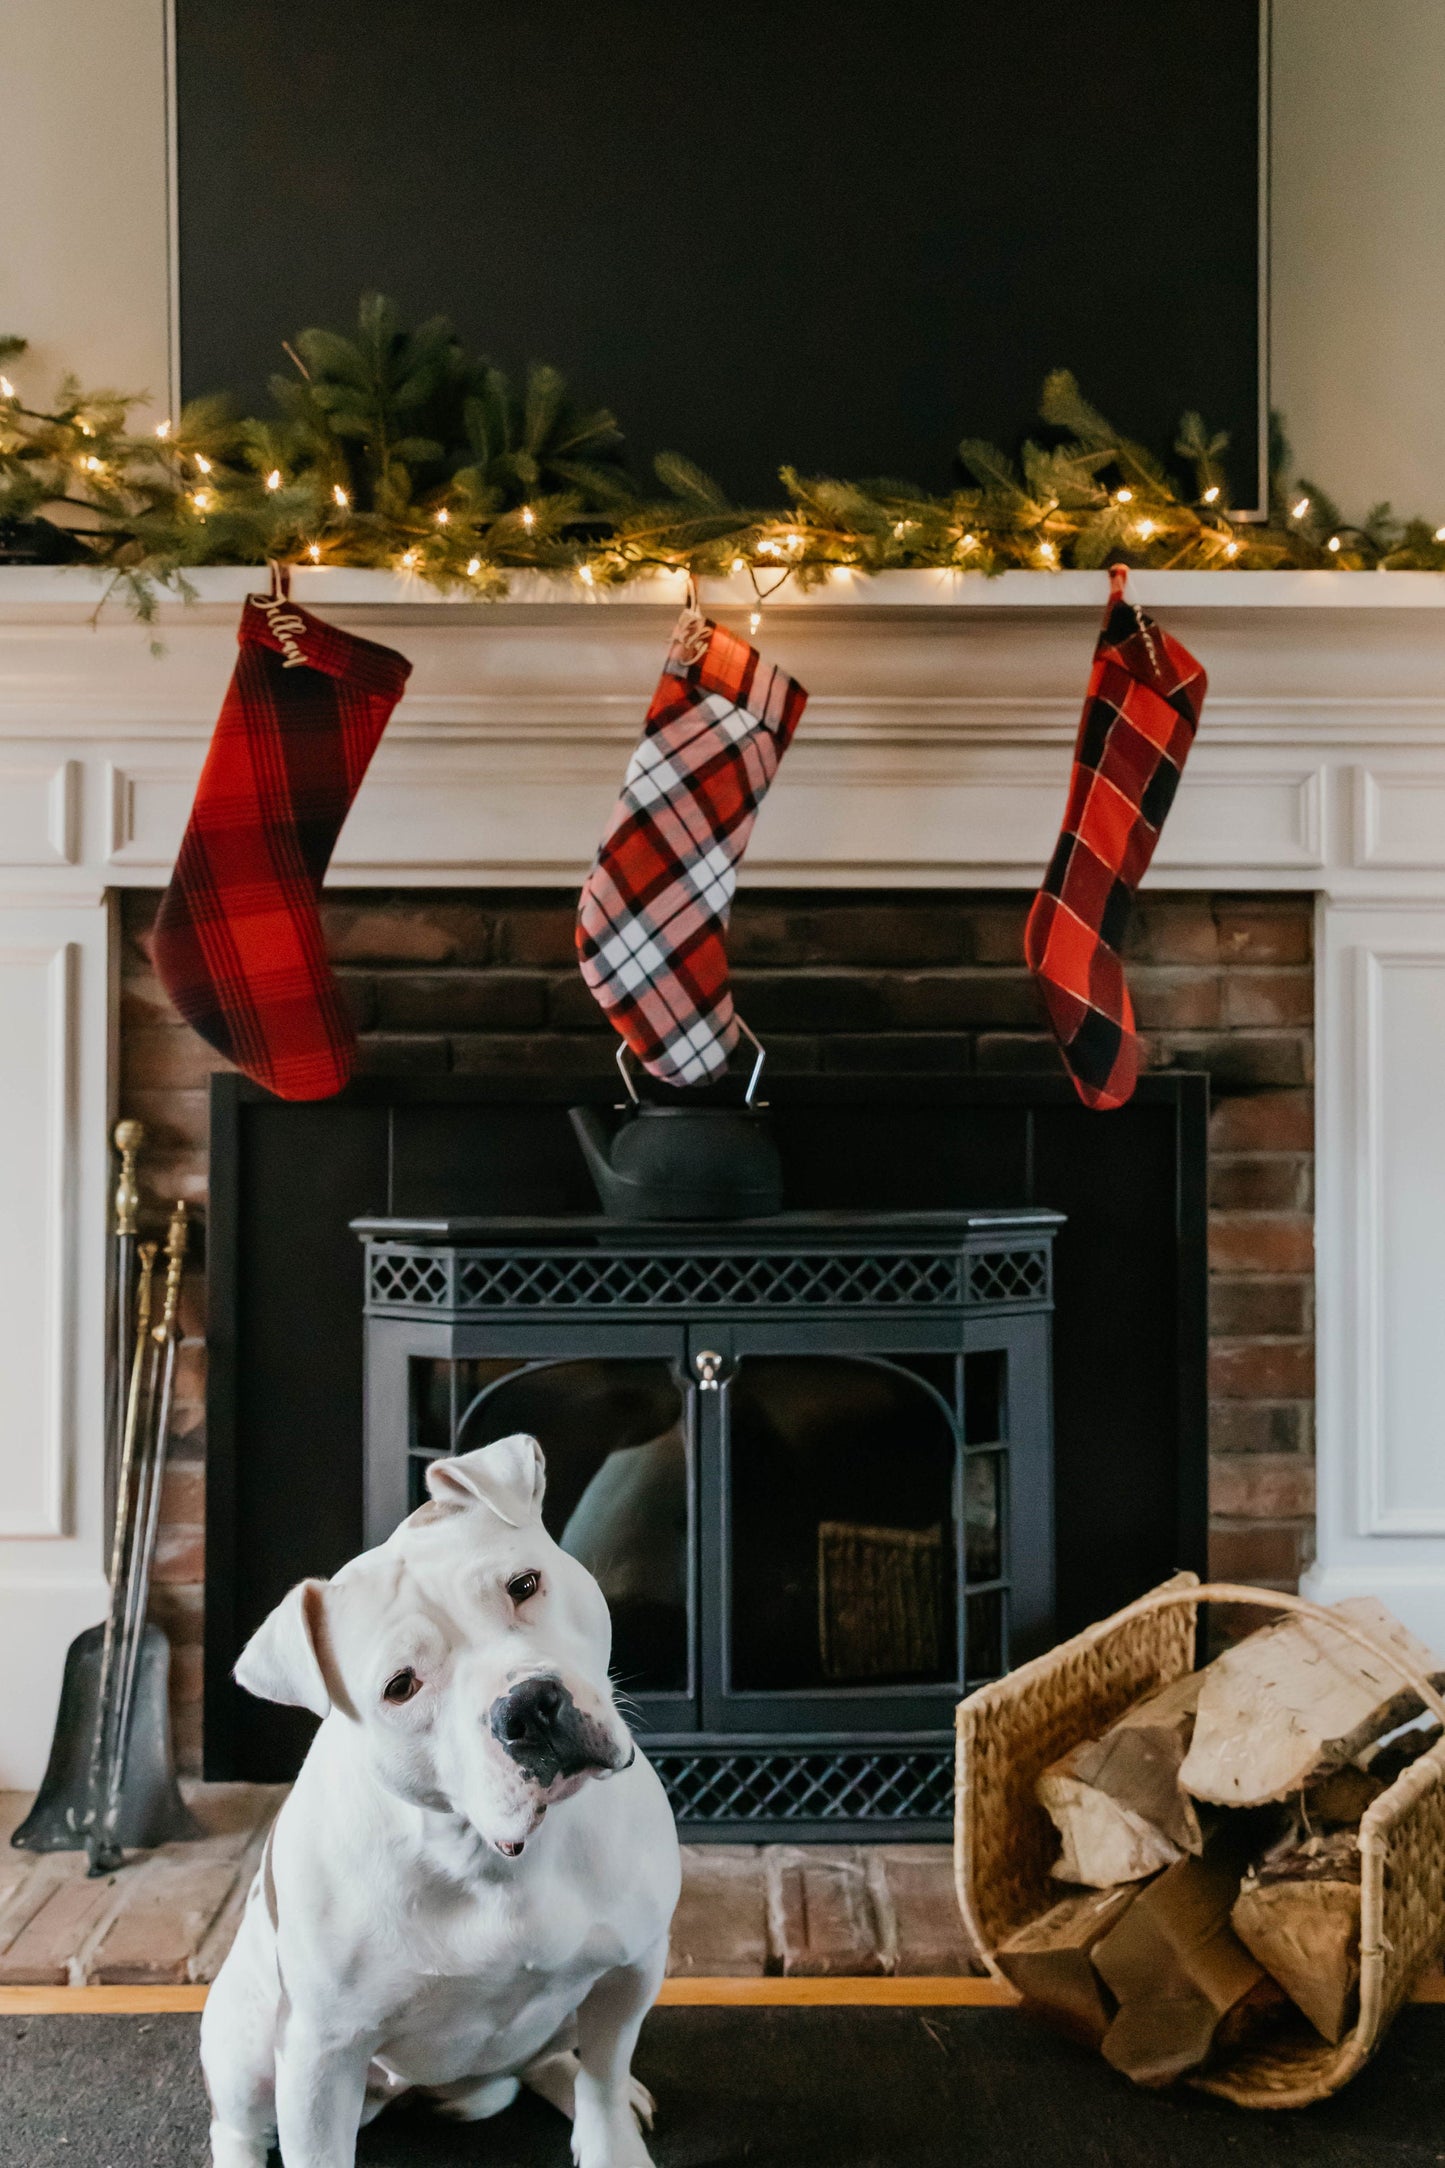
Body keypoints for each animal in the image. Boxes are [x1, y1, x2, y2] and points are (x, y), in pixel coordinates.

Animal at [196, 1430, 684, 2159]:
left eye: (523, 1585)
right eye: (401, 1686)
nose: (528, 1707)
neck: (487, 1855)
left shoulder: (629, 1971)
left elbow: (602, 2077)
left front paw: (612, 2139)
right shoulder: (319, 2056)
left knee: (553, 2061)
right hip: (244, 2042)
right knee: (236, 2125)